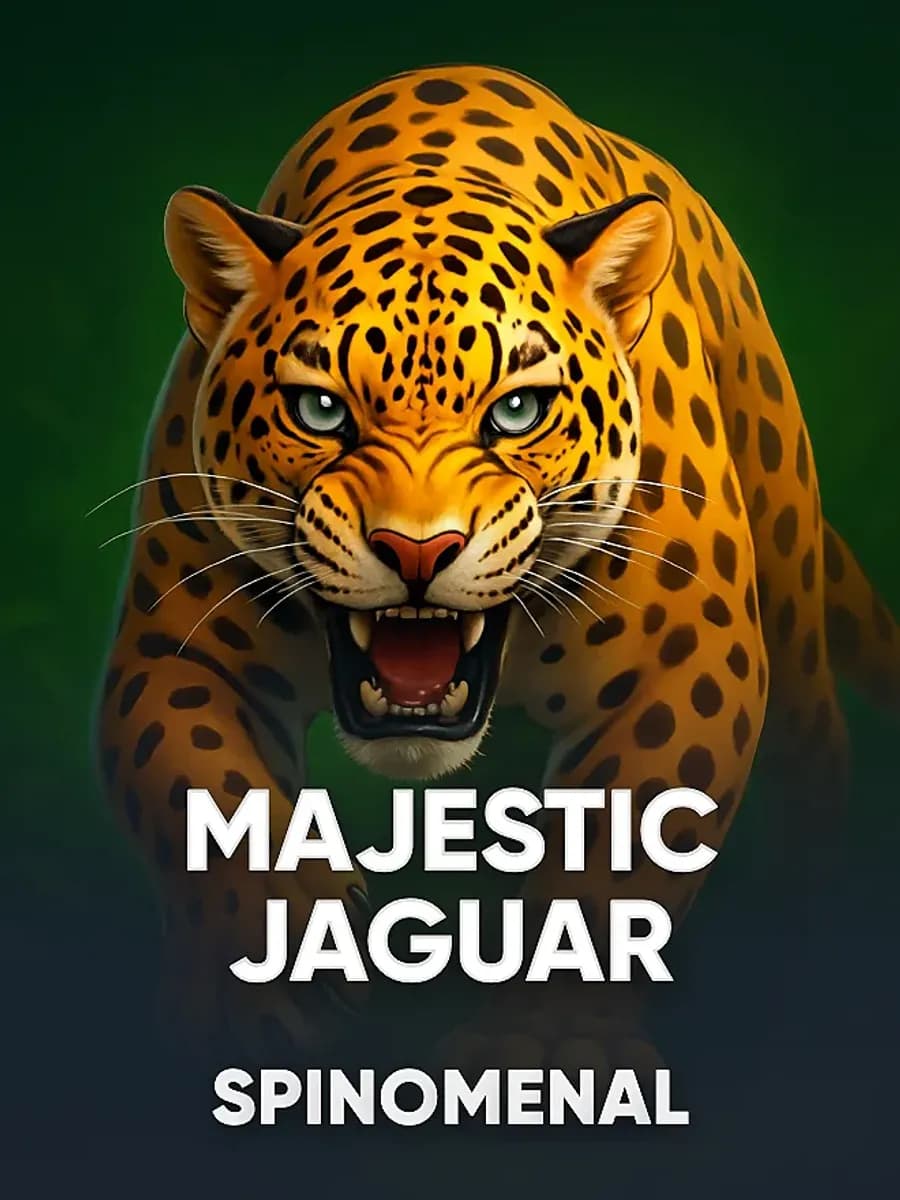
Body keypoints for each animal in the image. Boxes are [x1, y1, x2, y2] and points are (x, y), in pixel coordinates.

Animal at [96, 64, 900, 1073]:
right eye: (320, 410)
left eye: (517, 411)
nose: (417, 550)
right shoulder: (175, 649)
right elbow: (201, 796)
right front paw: (271, 971)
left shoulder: (692, 655)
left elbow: (616, 867)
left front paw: (541, 1042)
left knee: (815, 754)